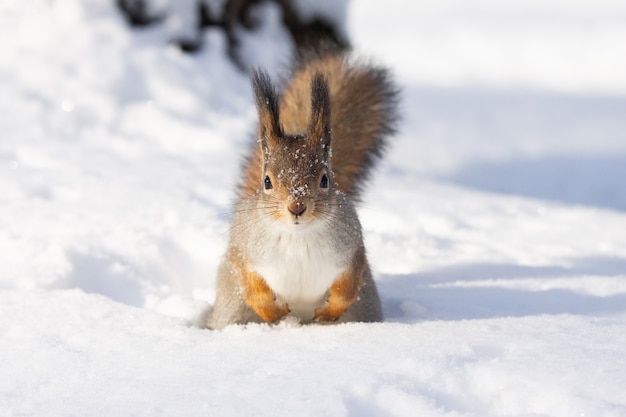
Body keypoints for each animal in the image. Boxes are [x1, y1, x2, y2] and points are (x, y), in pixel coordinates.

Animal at [207, 50, 398, 328]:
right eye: (267, 181)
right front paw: (274, 312)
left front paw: (328, 312)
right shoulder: (242, 249)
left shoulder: (352, 247)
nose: (297, 207)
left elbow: (348, 284)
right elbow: (250, 282)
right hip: (233, 307)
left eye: (325, 180)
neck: (296, 237)